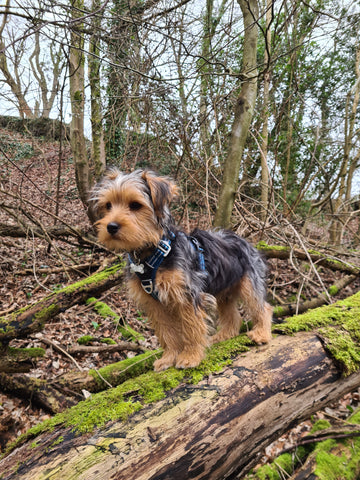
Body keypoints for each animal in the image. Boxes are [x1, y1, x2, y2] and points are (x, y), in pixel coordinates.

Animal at [90, 169, 272, 372]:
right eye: (108, 205)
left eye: (135, 205)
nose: (111, 226)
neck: (154, 251)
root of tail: (244, 240)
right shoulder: (154, 304)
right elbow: (165, 332)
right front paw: (168, 358)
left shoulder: (186, 294)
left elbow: (191, 327)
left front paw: (190, 357)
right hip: (223, 290)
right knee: (233, 316)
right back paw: (223, 336)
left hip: (249, 283)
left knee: (263, 307)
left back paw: (261, 334)